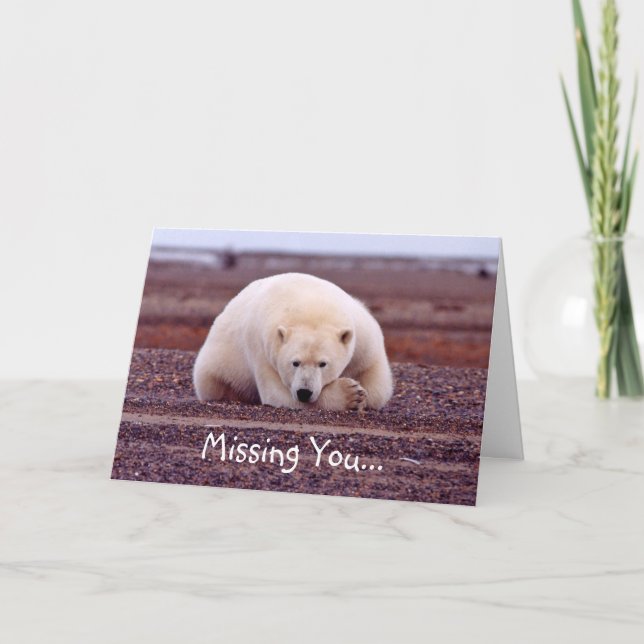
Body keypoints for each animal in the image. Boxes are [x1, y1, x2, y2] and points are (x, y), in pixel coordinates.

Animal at [193, 272, 393, 411]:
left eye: (323, 363)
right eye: (295, 362)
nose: (304, 392)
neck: (311, 306)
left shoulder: (364, 337)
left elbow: (377, 385)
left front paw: (362, 394)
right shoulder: (262, 347)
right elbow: (278, 394)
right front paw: (352, 394)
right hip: (217, 368)